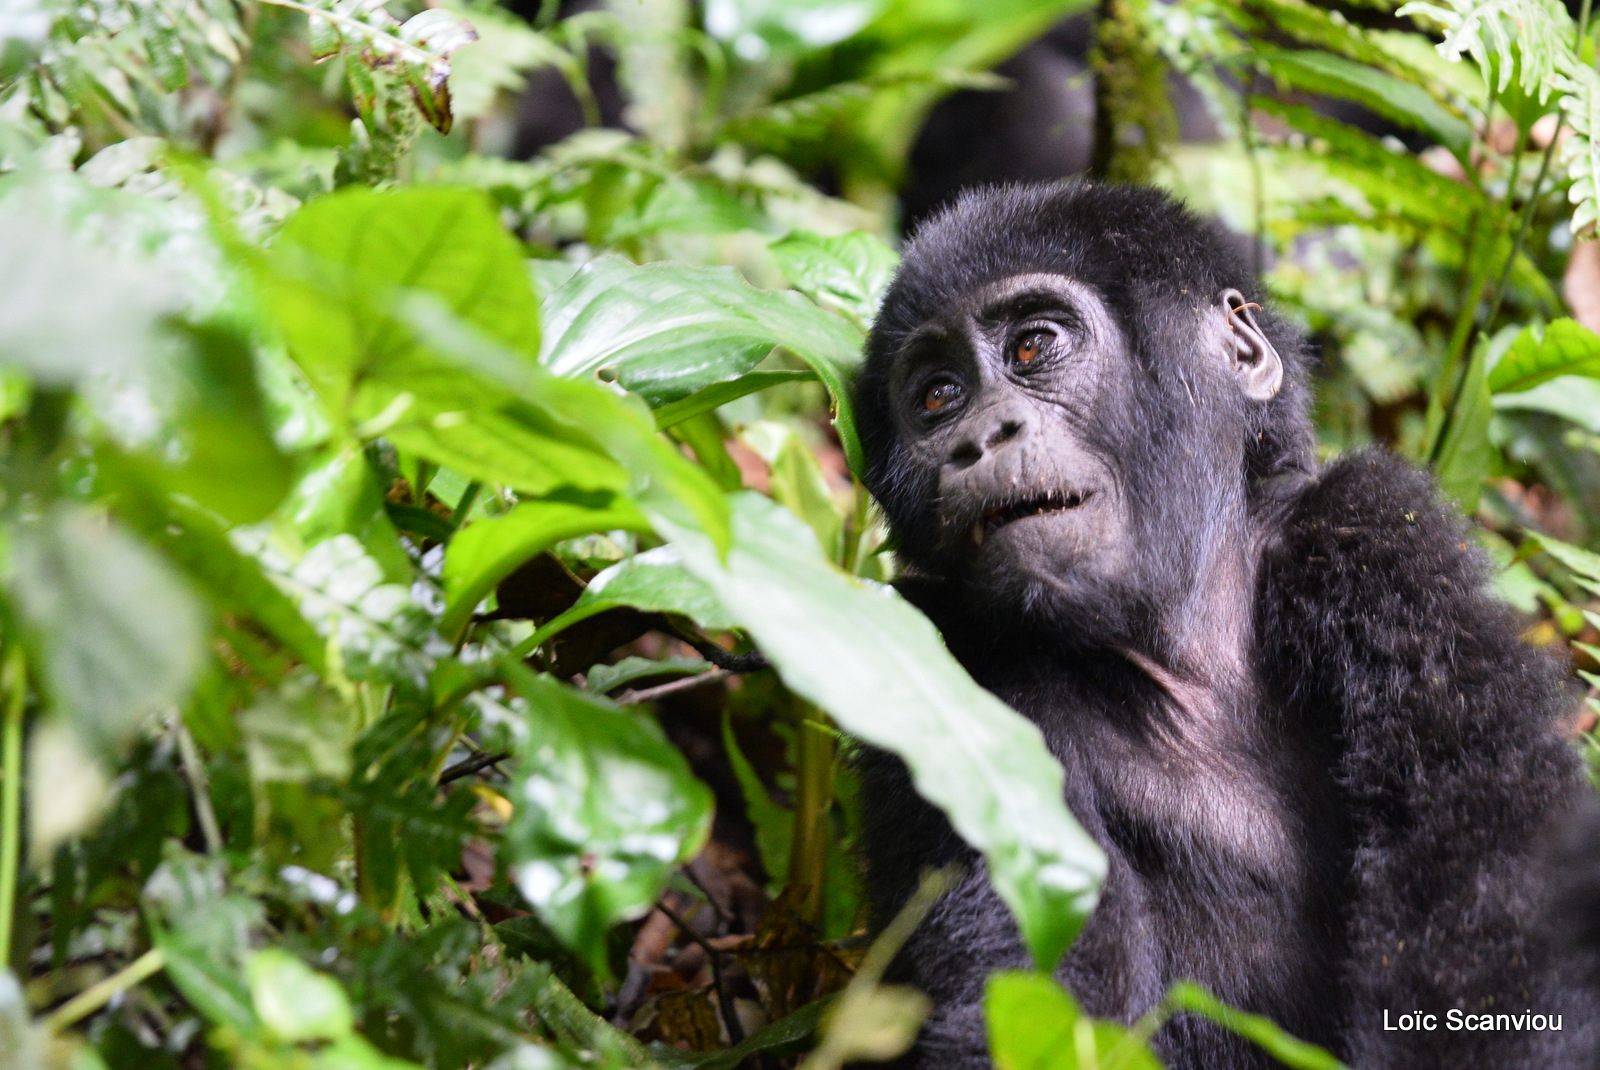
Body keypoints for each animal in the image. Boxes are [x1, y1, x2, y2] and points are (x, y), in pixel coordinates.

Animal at [857, 179, 1593, 1062]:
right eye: (938, 397)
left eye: (1032, 348)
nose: (977, 439)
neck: (1185, 643)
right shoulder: (932, 657)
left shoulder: (1378, 528)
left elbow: (1487, 872)